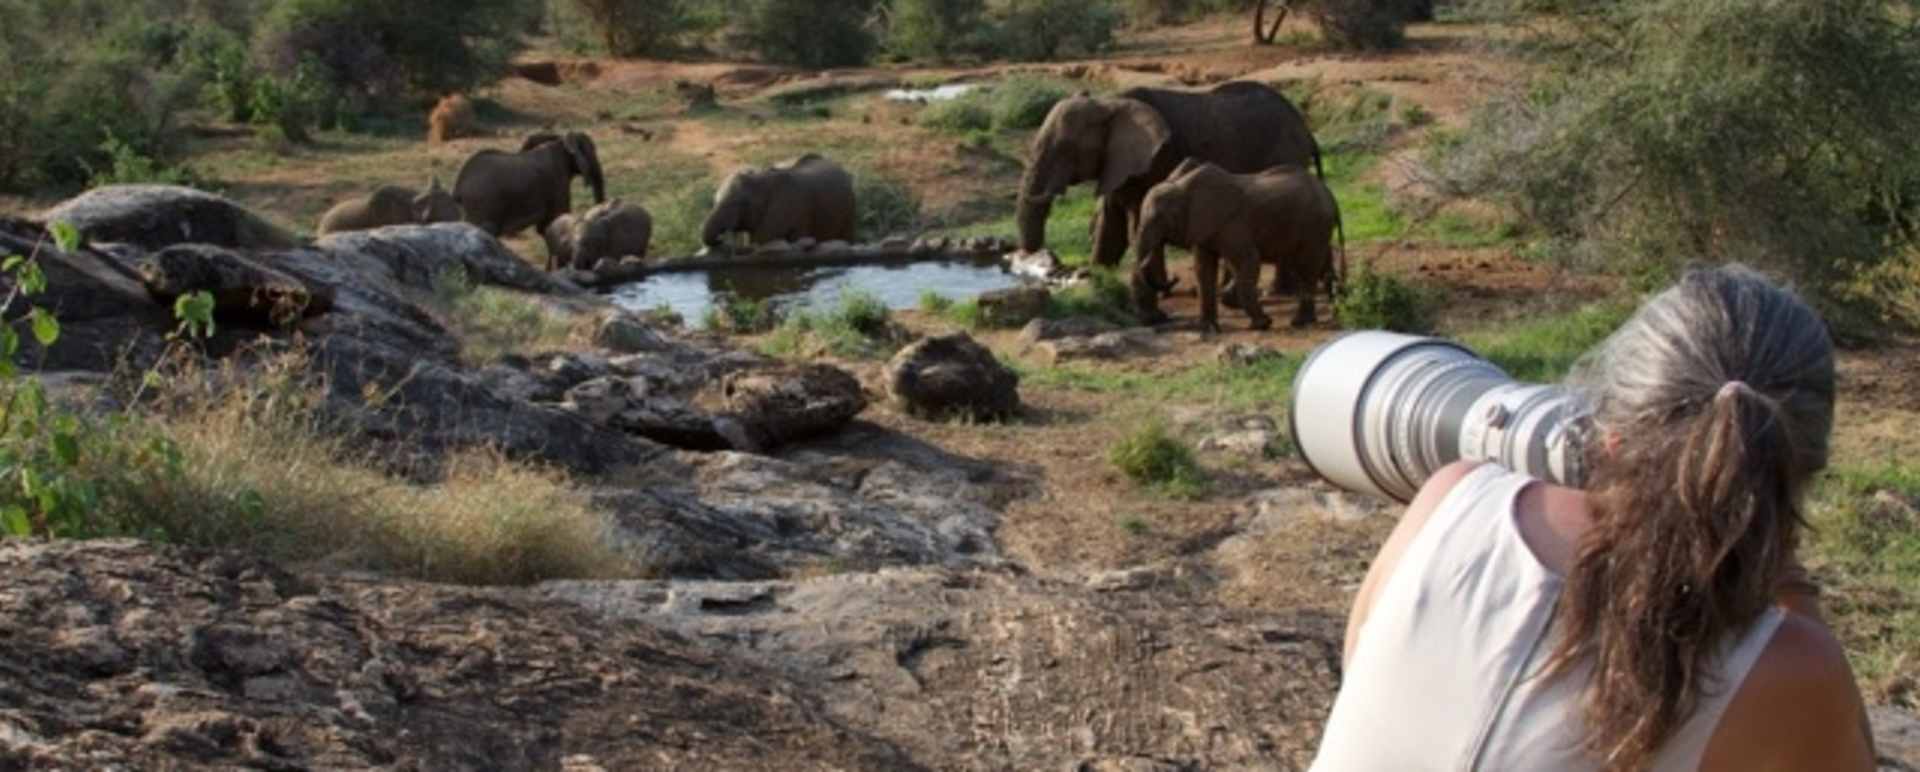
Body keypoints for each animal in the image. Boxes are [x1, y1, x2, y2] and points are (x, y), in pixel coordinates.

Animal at [453, 131, 606, 239]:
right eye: (592, 152)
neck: (561, 143)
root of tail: (459, 185)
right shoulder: (558, 182)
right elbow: (556, 219)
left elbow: (545, 228)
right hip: (483, 204)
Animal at [1015, 81, 1322, 273]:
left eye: (1066, 148)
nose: (1052, 261)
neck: (1108, 101)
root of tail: (1306, 128)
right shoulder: (1118, 164)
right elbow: (1110, 226)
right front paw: (1097, 278)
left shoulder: (1154, 161)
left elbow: (1137, 225)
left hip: (1284, 152)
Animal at [1132, 160, 1344, 332]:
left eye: (1158, 218)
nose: (1175, 277)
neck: (1182, 187)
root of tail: (1329, 194)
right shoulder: (1204, 228)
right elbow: (1204, 270)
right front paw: (1209, 330)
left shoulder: (1231, 224)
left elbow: (1249, 260)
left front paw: (1262, 324)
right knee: (1315, 262)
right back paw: (1336, 305)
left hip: (1314, 224)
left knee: (1306, 267)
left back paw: (1301, 322)